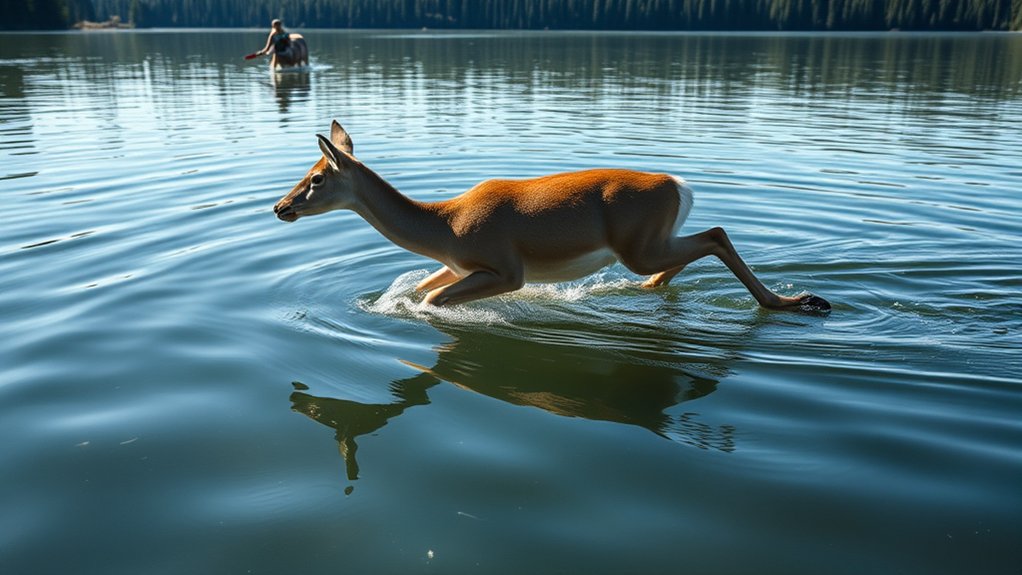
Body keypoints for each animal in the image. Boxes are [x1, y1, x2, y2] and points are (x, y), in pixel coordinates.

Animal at [273, 121, 831, 313]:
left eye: (317, 177)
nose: (280, 207)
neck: (443, 226)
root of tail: (680, 185)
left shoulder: (506, 267)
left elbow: (430, 298)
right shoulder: (456, 264)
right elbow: (418, 288)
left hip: (638, 243)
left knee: (716, 232)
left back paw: (794, 302)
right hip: (651, 242)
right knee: (700, 243)